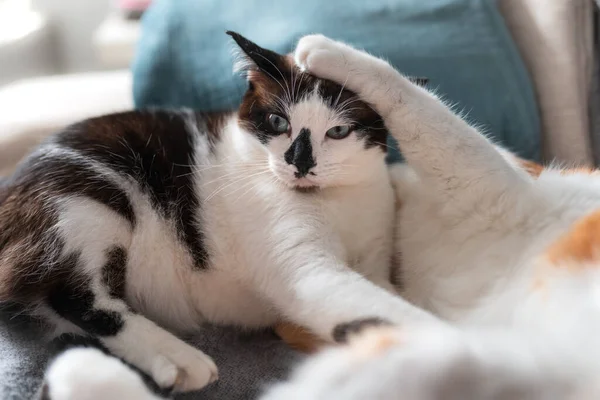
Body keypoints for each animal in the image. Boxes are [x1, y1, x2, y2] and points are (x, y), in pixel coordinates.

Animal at [0, 32, 436, 396]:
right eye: (277, 120)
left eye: (339, 132)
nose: (298, 162)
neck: (336, 201)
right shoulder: (304, 266)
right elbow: (373, 305)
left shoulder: (376, 252)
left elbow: (385, 292)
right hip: (86, 199)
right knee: (72, 295)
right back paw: (175, 357)